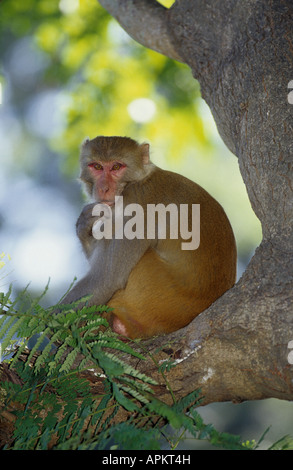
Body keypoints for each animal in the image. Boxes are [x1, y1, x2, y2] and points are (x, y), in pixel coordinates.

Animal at [62, 135, 236, 338]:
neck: (137, 180)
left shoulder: (136, 202)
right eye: (97, 166)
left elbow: (106, 278)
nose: (104, 188)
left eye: (116, 167)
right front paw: (84, 226)